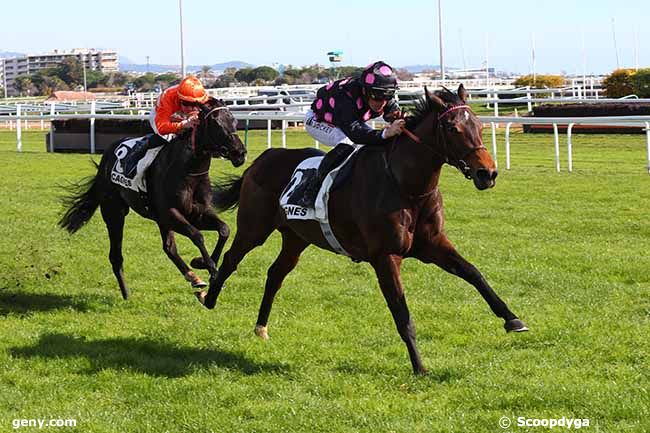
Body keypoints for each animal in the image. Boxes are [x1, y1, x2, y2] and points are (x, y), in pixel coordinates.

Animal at [58, 99, 246, 298]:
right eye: (216, 123)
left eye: (234, 121)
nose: (240, 153)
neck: (188, 170)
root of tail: (107, 157)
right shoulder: (170, 213)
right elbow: (198, 236)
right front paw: (212, 270)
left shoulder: (196, 213)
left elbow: (224, 230)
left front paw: (203, 264)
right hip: (114, 212)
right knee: (116, 255)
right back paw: (127, 295)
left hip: (155, 219)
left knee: (169, 248)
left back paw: (192, 277)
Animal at [196, 86, 528, 372]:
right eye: (452, 129)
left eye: (480, 127)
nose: (488, 173)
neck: (406, 186)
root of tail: (259, 161)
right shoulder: (385, 256)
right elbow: (402, 313)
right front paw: (419, 367)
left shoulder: (433, 245)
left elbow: (474, 273)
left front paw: (512, 319)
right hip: (255, 228)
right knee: (231, 260)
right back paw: (208, 298)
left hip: (297, 237)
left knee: (276, 273)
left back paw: (261, 327)